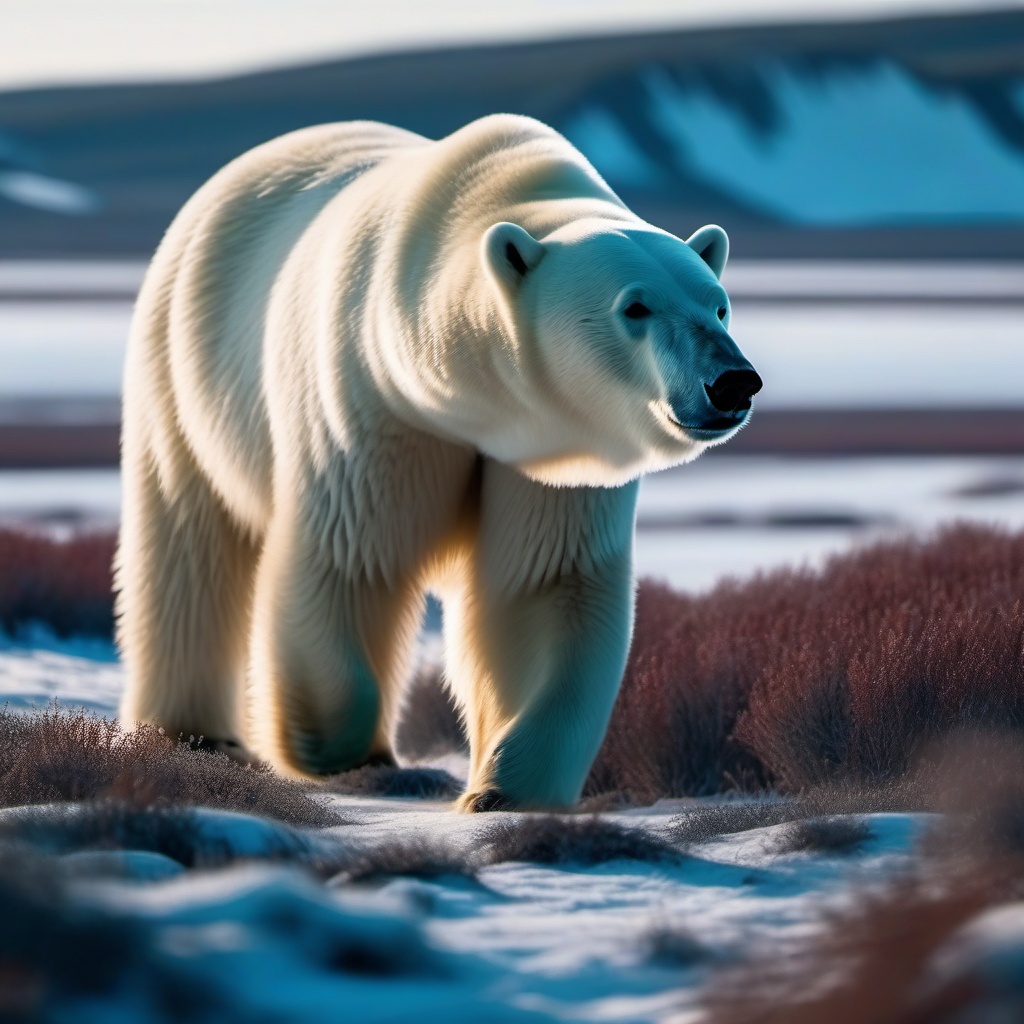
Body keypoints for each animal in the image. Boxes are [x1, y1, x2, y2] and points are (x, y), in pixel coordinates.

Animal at [116, 114, 765, 806]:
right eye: (635, 307)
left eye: (718, 304)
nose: (733, 382)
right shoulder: (374, 401)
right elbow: (352, 557)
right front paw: (337, 750)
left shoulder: (553, 456)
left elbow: (545, 585)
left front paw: (504, 789)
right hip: (182, 371)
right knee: (188, 544)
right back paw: (191, 734)